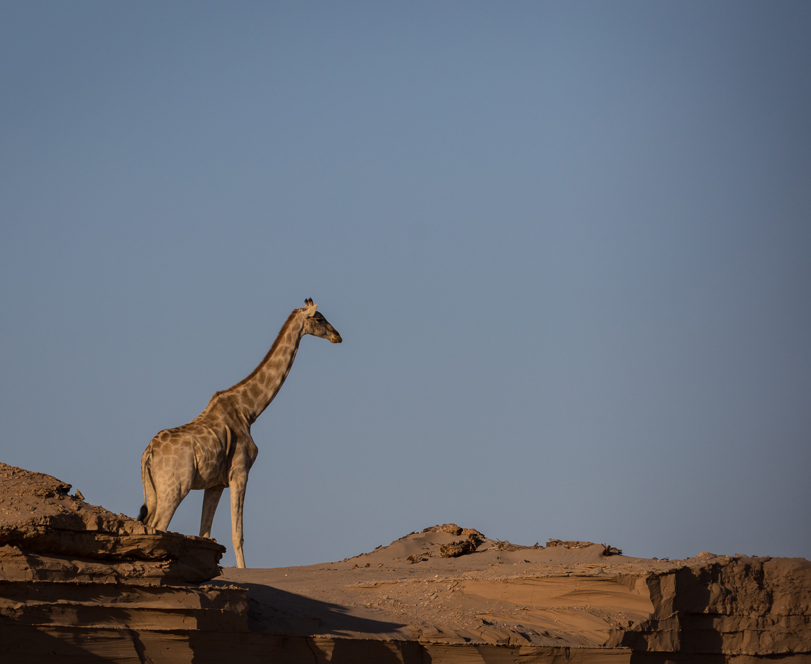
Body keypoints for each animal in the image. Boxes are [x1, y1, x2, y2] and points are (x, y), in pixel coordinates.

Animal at [138, 298, 341, 568]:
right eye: (319, 318)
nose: (337, 336)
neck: (249, 410)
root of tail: (148, 453)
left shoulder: (215, 483)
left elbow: (205, 532)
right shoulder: (240, 471)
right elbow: (238, 534)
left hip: (153, 491)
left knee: (149, 524)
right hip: (175, 487)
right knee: (160, 525)